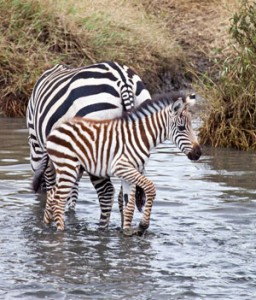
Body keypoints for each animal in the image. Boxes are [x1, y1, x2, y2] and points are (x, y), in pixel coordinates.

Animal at [27, 61, 151, 229]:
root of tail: (122, 78)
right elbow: (71, 192)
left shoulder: (40, 147)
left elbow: (53, 184)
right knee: (124, 195)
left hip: (98, 146)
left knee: (106, 193)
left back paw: (102, 228)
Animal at [32, 91, 201, 234]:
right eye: (181, 128)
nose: (198, 153)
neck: (141, 138)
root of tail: (53, 131)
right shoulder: (122, 167)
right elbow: (150, 188)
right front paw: (143, 225)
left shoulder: (129, 173)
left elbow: (129, 205)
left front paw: (127, 232)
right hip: (68, 167)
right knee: (59, 200)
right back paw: (61, 231)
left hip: (71, 169)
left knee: (52, 194)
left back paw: (46, 225)